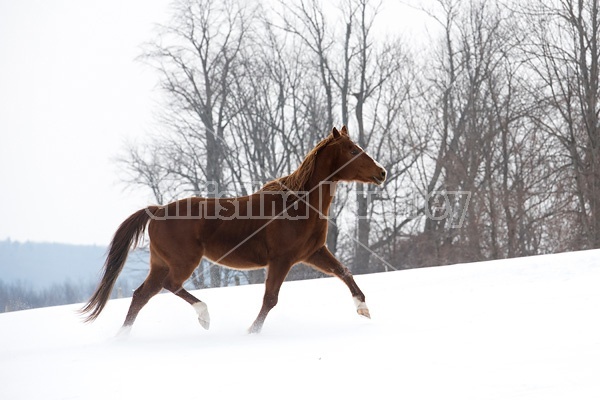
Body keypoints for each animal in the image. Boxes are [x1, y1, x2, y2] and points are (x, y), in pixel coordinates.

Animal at [82, 126, 386, 332]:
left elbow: (344, 272)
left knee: (141, 296)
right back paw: (204, 316)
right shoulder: (282, 260)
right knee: (170, 286)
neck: (298, 204)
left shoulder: (313, 253)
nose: (381, 172)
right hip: (183, 262)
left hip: (160, 264)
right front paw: (252, 331)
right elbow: (270, 299)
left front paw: (364, 309)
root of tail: (156, 211)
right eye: (353, 150)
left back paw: (122, 337)